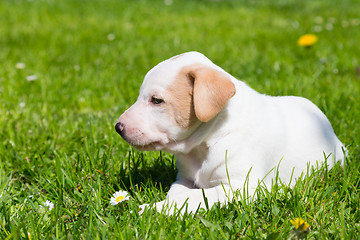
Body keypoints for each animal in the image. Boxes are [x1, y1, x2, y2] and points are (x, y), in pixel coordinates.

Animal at [114, 51, 344, 215]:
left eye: (156, 100)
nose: (118, 127)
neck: (205, 144)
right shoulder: (185, 179)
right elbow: (177, 193)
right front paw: (163, 206)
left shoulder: (241, 187)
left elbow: (194, 197)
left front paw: (151, 209)